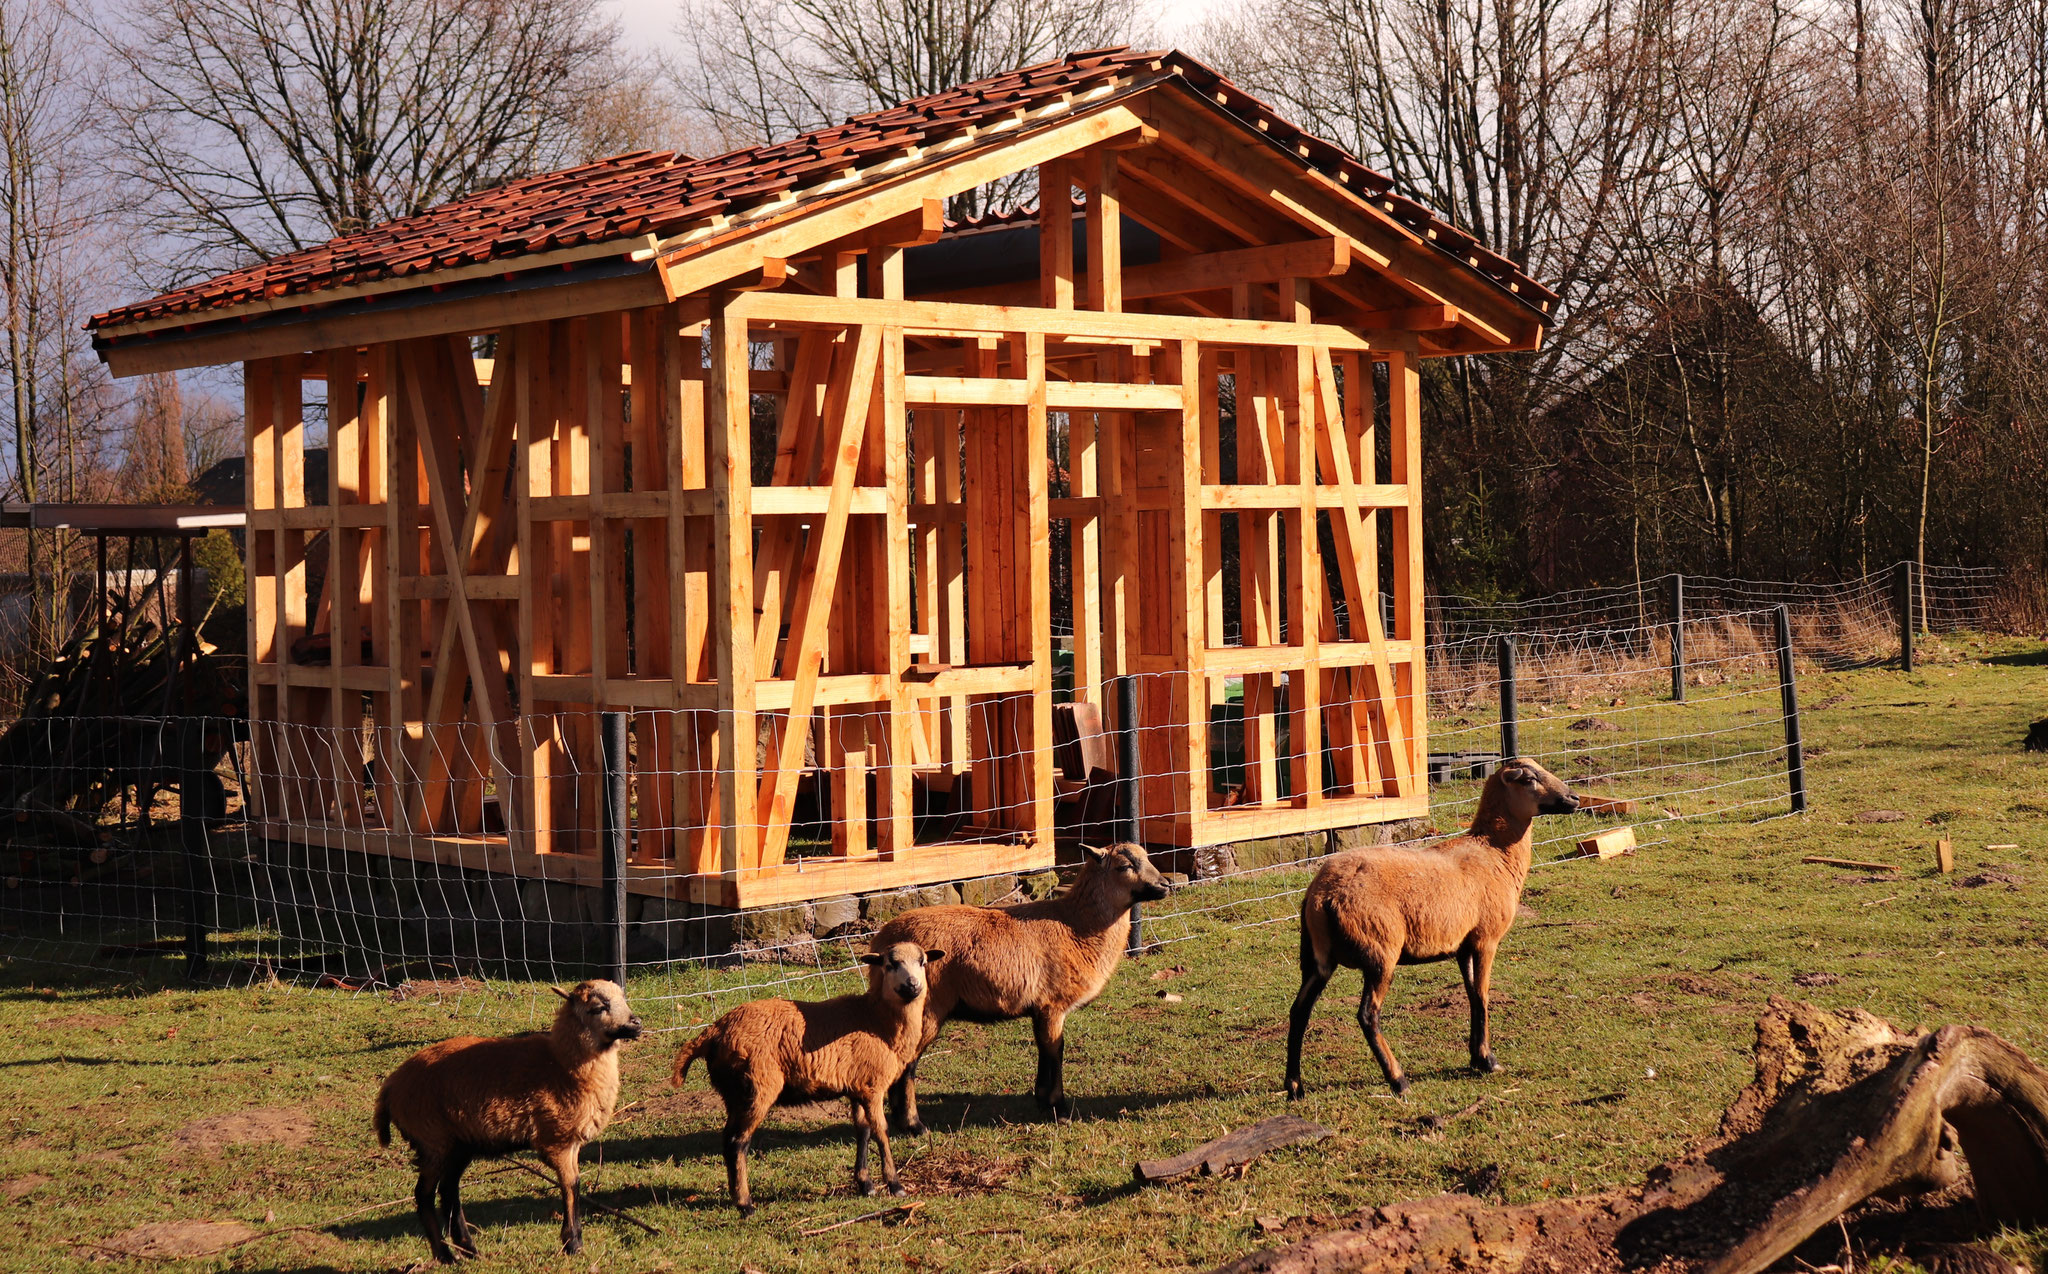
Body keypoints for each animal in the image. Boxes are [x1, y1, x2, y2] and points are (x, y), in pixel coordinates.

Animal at [374, 983, 638, 1261]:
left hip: (457, 1144)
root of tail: (391, 1086)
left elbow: (573, 1185)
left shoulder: (570, 1142)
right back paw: (445, 1255)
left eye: (623, 998)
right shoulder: (557, 1139)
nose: (636, 1024)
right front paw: (573, 1243)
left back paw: (469, 1250)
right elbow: (571, 1186)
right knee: (424, 1194)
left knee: (448, 1190)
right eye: (597, 1008)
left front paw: (573, 1241)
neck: (562, 1065)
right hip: (434, 1140)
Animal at [671, 938, 942, 1220]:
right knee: (738, 1143)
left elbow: (863, 1130)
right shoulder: (872, 1087)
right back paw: (746, 1205)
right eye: (890, 965)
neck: (878, 1021)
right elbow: (881, 1131)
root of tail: (713, 1032)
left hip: (735, 1094)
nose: (912, 985)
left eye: (923, 962)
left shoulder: (857, 1086)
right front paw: (895, 1185)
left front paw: (865, 1184)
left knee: (727, 1140)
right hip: (756, 1087)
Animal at [872, 843, 1179, 1130]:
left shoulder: (1041, 1007)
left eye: (1148, 857)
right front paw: (1059, 1108)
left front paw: (1042, 1100)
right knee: (907, 1066)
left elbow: (1046, 1049)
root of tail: (882, 940)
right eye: (1124, 866)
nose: (1165, 885)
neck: (1076, 926)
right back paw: (914, 1126)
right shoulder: (1052, 1004)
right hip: (925, 1009)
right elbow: (1055, 1051)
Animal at [1286, 761, 1572, 1106]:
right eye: (1530, 779)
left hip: (1316, 958)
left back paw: (1294, 1086)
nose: (1574, 799)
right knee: (1367, 1015)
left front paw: (1477, 1058)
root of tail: (1323, 894)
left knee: (1299, 1011)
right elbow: (1483, 995)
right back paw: (1398, 1080)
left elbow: (1472, 994)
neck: (1495, 852)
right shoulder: (1486, 939)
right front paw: (1489, 1061)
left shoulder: (1463, 945)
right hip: (1380, 951)